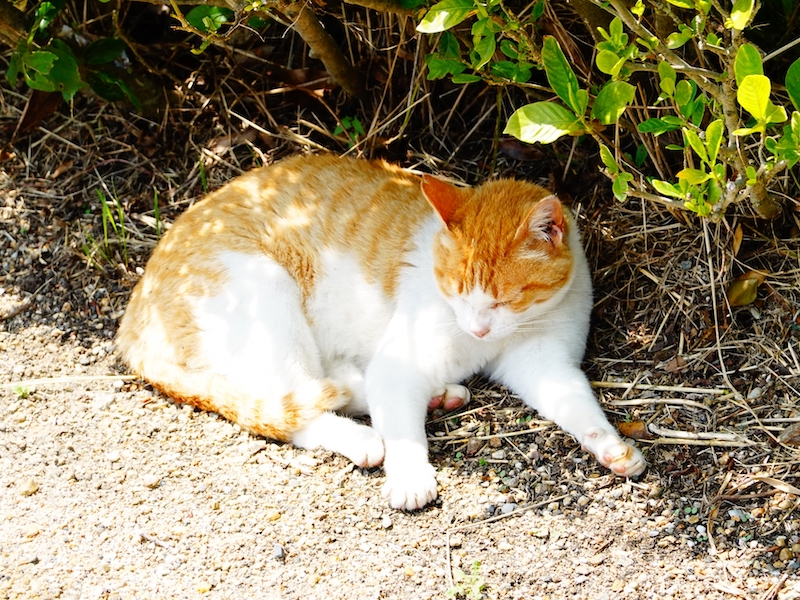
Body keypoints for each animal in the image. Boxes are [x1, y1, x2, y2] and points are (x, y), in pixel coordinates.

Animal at [115, 152, 648, 508]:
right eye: (456, 291)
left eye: (503, 299)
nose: (477, 329)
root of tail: (132, 315)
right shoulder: (401, 361)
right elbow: (402, 428)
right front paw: (410, 473)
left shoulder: (545, 364)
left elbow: (578, 406)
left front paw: (611, 447)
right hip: (265, 290)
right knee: (290, 408)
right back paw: (366, 438)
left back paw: (434, 396)